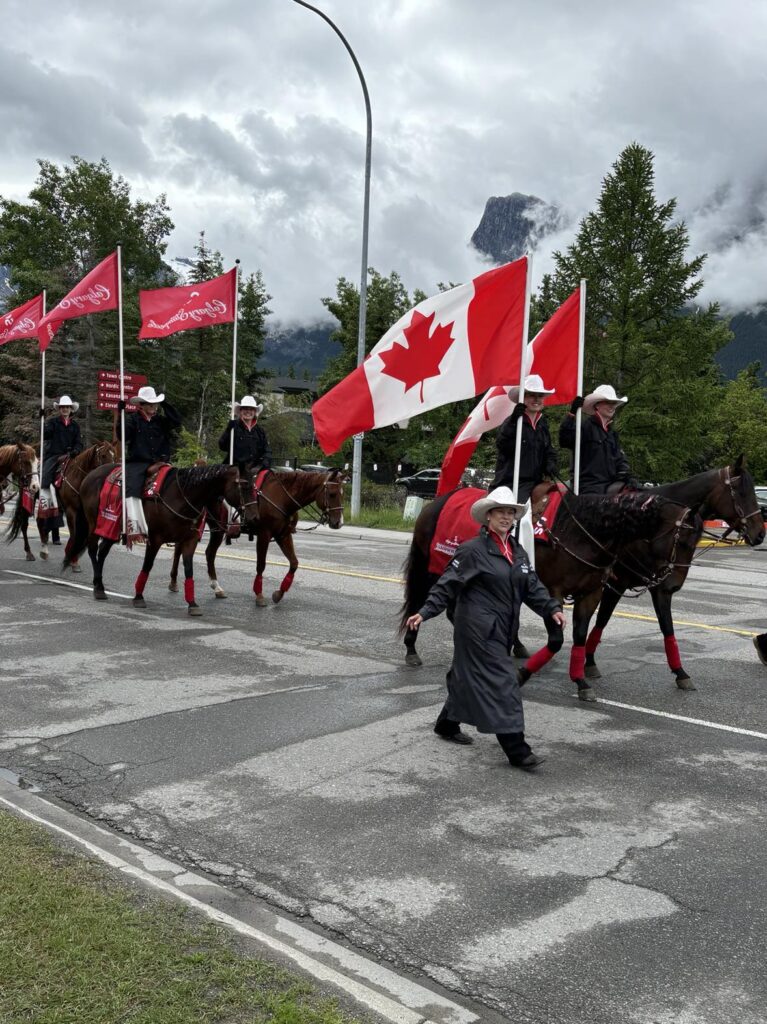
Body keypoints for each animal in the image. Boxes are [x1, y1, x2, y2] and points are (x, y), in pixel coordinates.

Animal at [4, 440, 116, 569]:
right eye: (103, 455)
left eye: (114, 455)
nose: (111, 473)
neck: (78, 477)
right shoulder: (71, 510)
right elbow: (74, 534)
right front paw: (72, 559)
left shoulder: (84, 513)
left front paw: (72, 559)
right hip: (28, 499)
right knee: (24, 525)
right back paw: (29, 553)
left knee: (40, 522)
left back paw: (44, 550)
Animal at [66, 464, 257, 614]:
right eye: (244, 487)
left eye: (256, 488)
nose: (253, 518)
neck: (180, 496)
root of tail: (90, 475)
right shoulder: (155, 539)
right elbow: (147, 566)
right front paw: (138, 597)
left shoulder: (189, 540)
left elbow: (188, 568)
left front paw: (192, 603)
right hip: (95, 524)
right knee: (92, 549)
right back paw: (98, 587)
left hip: (112, 529)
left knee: (103, 551)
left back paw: (99, 584)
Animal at [169, 471, 346, 606]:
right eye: (332, 494)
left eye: (342, 494)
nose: (339, 523)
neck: (280, 497)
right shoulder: (264, 535)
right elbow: (261, 565)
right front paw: (259, 595)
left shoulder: (283, 535)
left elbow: (294, 563)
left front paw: (279, 593)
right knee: (195, 551)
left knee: (199, 552)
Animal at [401, 483, 692, 700]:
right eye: (682, 542)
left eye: (695, 540)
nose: (672, 584)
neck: (579, 532)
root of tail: (436, 502)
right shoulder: (555, 591)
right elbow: (556, 639)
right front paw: (522, 675)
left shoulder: (591, 593)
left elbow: (579, 635)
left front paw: (581, 680)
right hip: (431, 568)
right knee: (419, 602)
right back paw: (411, 649)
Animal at [581, 462, 761, 688]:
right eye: (742, 492)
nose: (760, 534)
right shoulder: (621, 585)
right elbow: (602, 619)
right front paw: (588, 661)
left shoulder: (660, 588)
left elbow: (667, 628)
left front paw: (680, 672)